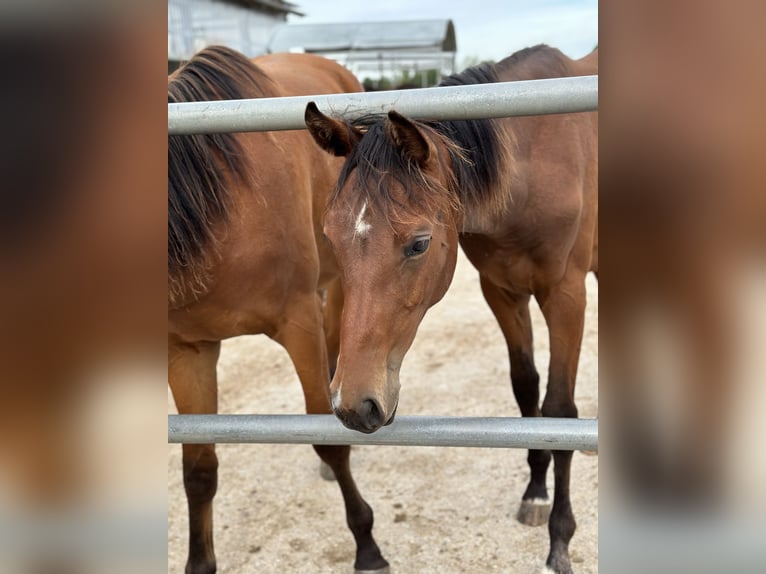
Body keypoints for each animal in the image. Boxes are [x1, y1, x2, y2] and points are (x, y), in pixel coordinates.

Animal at [169, 46, 390, 574]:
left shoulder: (298, 322)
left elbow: (329, 441)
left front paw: (367, 546)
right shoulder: (187, 351)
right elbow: (198, 469)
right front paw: (199, 562)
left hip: (339, 284)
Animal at [306, 46, 600, 574]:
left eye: (419, 243)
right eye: (330, 237)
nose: (352, 405)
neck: (536, 165)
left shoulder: (567, 295)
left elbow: (559, 408)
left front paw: (560, 538)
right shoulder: (501, 291)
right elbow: (527, 390)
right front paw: (535, 491)